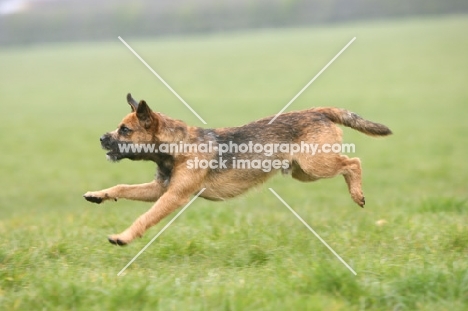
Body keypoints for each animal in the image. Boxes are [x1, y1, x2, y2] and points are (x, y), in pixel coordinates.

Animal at [83, 94, 392, 245]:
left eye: (125, 130)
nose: (101, 138)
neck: (177, 146)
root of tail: (318, 111)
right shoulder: (159, 189)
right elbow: (122, 188)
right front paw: (98, 194)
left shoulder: (174, 196)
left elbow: (144, 218)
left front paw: (122, 237)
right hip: (302, 171)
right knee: (348, 164)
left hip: (314, 165)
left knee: (353, 163)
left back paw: (357, 194)